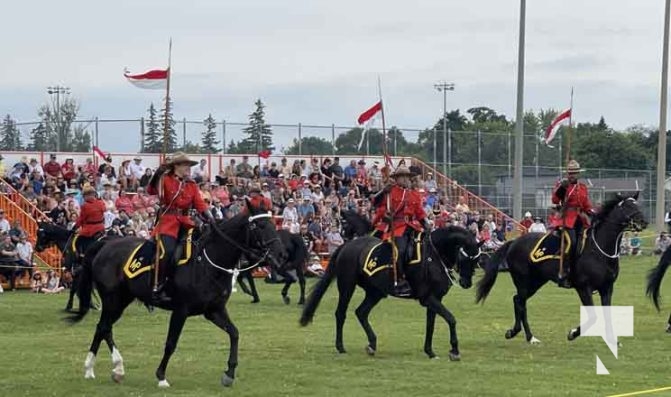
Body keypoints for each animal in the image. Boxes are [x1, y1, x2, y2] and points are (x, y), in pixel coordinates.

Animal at [67, 206, 286, 388]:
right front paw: (161, 376)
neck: (208, 262)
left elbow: (234, 333)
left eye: (273, 223)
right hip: (113, 300)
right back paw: (108, 367)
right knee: (104, 327)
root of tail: (105, 244)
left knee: (103, 328)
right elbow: (171, 343)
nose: (281, 255)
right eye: (260, 225)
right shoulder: (181, 311)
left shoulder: (214, 311)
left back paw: (101, 369)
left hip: (121, 300)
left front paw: (229, 374)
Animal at [300, 224, 484, 360]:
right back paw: (341, 347)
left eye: (477, 260)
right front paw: (454, 351)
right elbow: (451, 319)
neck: (434, 256)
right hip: (347, 286)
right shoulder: (427, 298)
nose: (466, 283)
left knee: (361, 312)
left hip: (375, 292)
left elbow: (431, 324)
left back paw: (372, 345)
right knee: (341, 313)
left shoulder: (435, 298)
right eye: (465, 257)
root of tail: (348, 244)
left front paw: (430, 351)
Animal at [476, 190, 648, 342]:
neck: (600, 249)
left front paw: (612, 340)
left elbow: (606, 314)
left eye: (637, 205)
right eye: (627, 207)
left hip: (536, 282)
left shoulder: (607, 288)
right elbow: (594, 316)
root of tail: (514, 242)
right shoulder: (584, 288)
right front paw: (572, 333)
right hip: (523, 281)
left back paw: (519, 333)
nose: (643, 222)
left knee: (517, 300)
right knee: (520, 303)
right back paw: (528, 336)